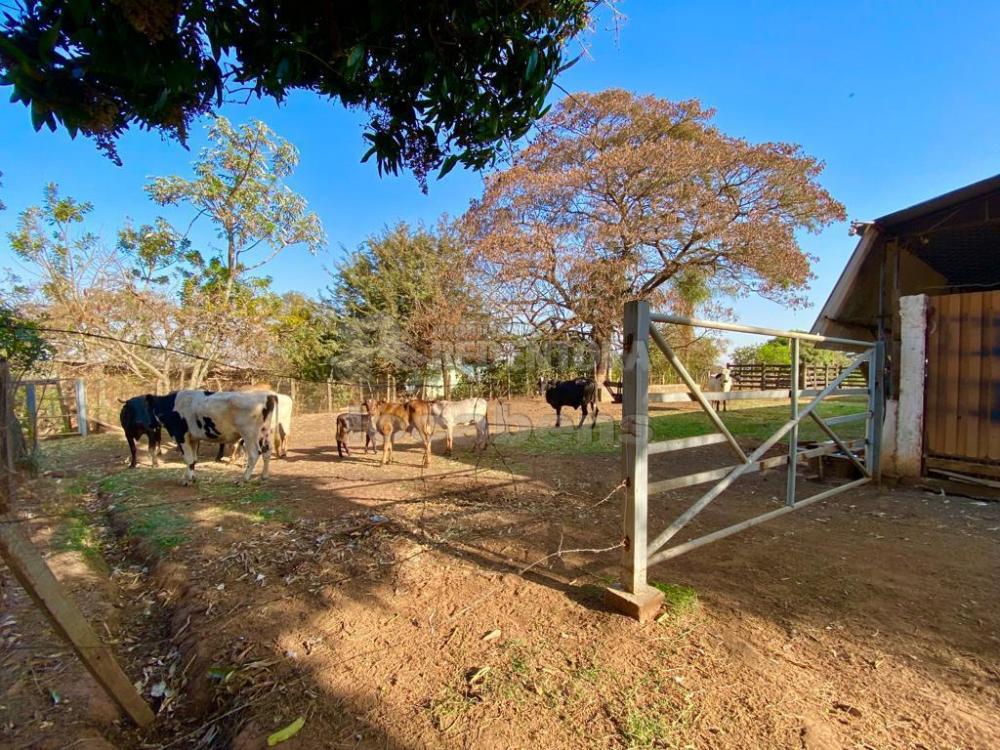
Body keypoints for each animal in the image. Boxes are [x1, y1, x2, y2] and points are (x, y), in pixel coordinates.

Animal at [146, 390, 278, 484]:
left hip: (249, 434)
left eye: (148, 408)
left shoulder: (181, 436)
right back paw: (264, 476)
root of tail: (267, 395)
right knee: (267, 451)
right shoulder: (193, 438)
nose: (148, 424)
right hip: (265, 432)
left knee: (254, 454)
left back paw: (244, 479)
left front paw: (187, 480)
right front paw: (192, 477)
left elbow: (188, 458)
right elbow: (194, 459)